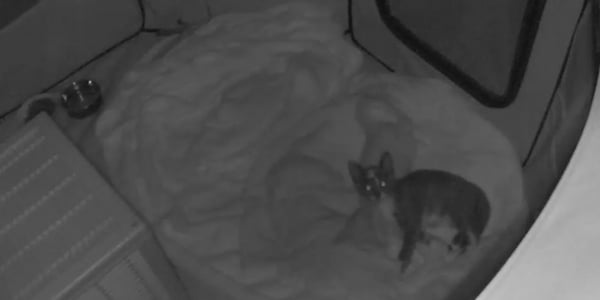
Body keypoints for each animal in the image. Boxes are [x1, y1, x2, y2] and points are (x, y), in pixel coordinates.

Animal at [350, 152, 490, 272]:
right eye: (368, 188)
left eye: (383, 184)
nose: (378, 195)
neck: (387, 202)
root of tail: (482, 197)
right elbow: (399, 243)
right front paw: (414, 258)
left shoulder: (411, 209)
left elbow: (410, 236)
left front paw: (405, 257)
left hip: (460, 211)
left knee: (468, 239)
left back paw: (453, 255)